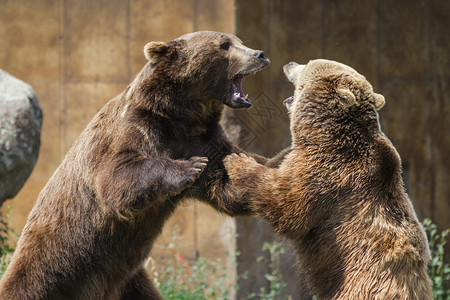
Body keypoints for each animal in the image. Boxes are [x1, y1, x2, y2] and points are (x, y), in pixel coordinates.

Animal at [0, 31, 268, 300]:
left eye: (240, 41)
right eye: (224, 45)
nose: (260, 54)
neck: (183, 116)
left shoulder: (204, 139)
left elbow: (228, 186)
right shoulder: (135, 127)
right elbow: (117, 177)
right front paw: (189, 167)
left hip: (126, 280)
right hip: (53, 262)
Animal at [225, 59, 432, 300]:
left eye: (308, 64)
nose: (290, 62)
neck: (322, 134)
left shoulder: (329, 172)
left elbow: (286, 204)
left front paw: (236, 161)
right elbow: (277, 163)